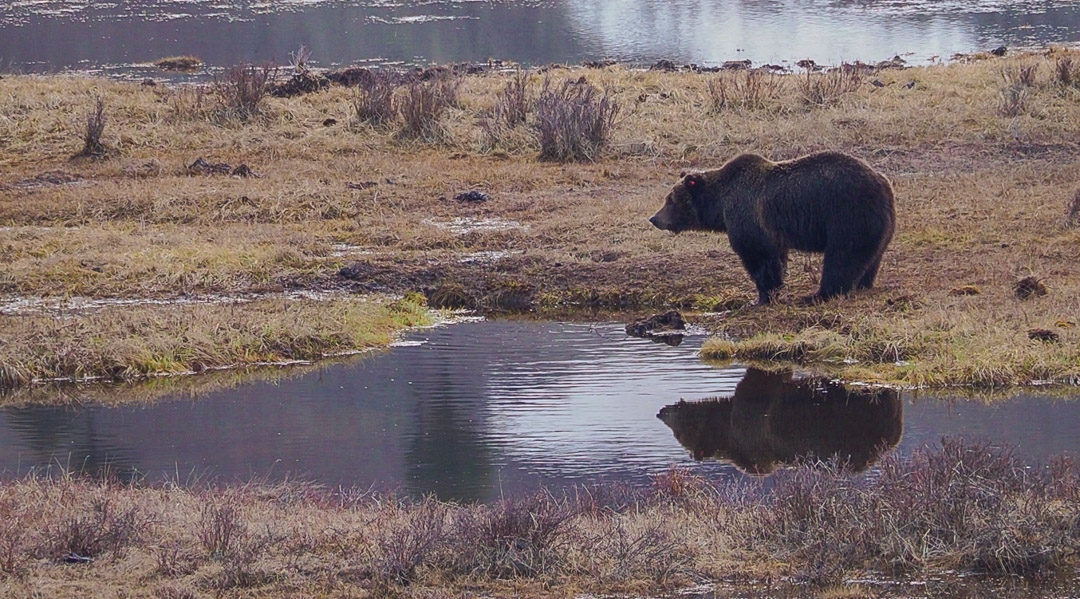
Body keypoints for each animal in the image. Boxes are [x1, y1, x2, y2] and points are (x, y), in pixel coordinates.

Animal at [648, 150, 894, 304]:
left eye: (670, 199)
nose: (654, 218)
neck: (720, 204)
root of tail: (882, 182)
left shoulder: (748, 214)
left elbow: (759, 257)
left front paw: (762, 297)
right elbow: (777, 256)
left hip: (847, 214)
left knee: (842, 257)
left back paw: (818, 295)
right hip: (876, 224)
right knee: (869, 257)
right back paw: (863, 284)